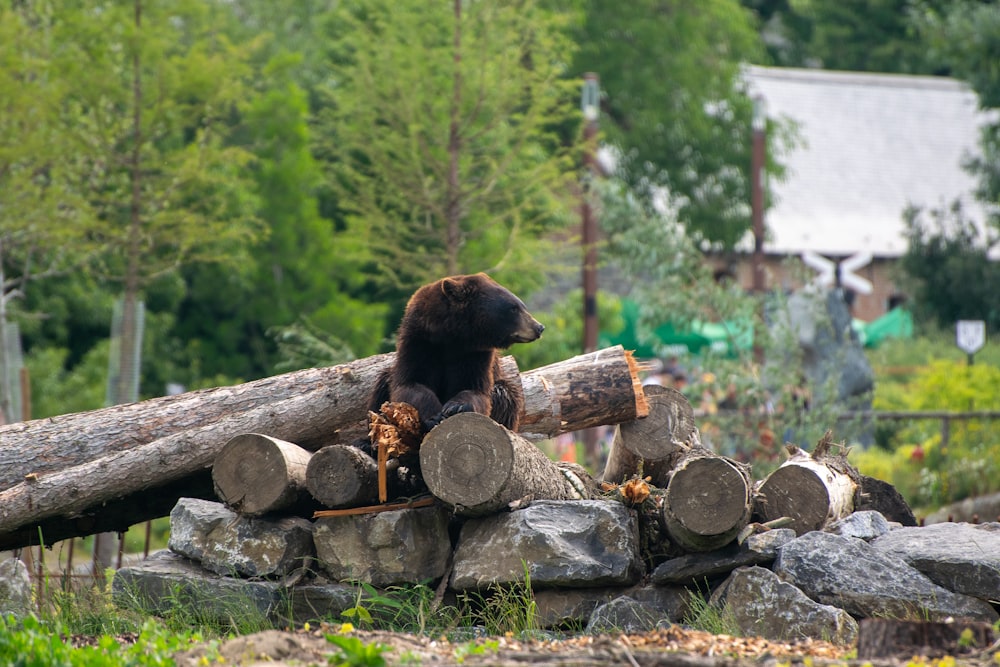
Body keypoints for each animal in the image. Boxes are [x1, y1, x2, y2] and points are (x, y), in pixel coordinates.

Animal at [368, 272, 544, 434]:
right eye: (514, 308)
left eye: (521, 306)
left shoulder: (474, 354)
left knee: (504, 393)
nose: (539, 327)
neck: (452, 336)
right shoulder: (420, 342)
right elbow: (410, 383)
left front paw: (455, 406)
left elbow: (475, 389)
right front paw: (434, 416)